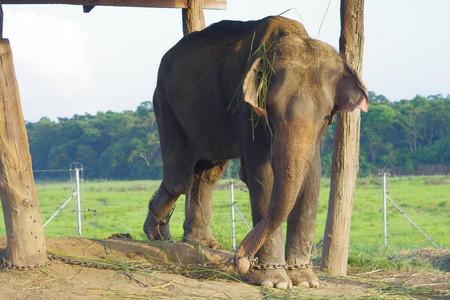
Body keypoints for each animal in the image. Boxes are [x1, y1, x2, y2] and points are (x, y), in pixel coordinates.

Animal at [144, 15, 370, 288]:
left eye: (328, 116)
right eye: (269, 109)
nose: (240, 261)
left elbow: (312, 178)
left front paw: (304, 281)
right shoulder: (243, 107)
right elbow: (261, 174)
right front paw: (275, 281)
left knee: (206, 174)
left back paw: (197, 241)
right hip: (164, 103)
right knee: (179, 179)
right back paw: (156, 233)